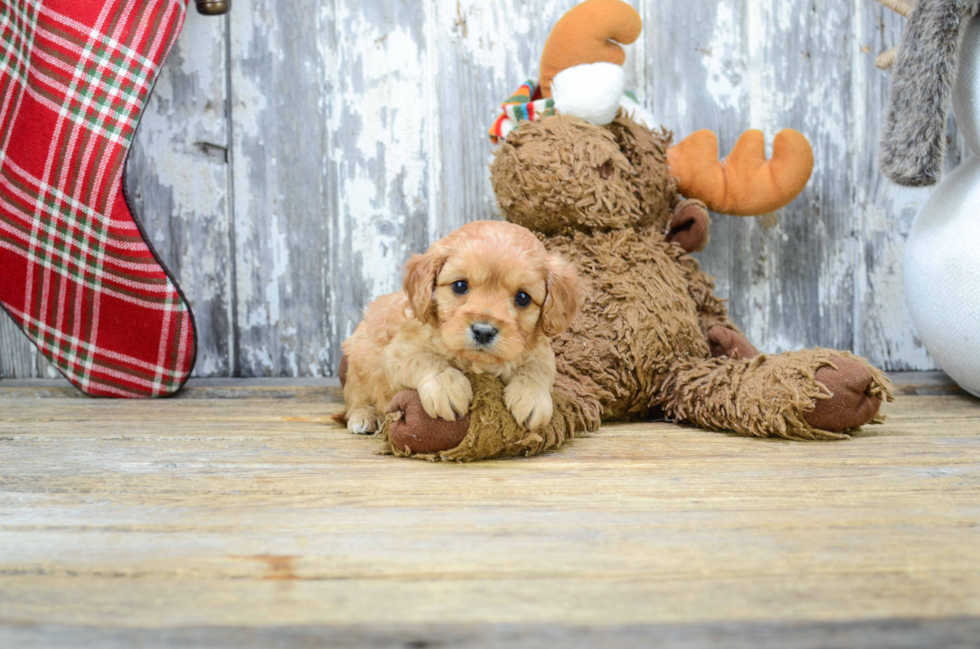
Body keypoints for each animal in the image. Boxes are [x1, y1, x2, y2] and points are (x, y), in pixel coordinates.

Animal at [340, 219, 580, 436]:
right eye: (460, 285)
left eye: (523, 298)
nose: (483, 331)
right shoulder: (397, 353)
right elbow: (427, 358)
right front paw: (446, 388)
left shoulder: (543, 354)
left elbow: (536, 369)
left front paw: (532, 398)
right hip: (357, 364)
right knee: (356, 399)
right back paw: (364, 417)